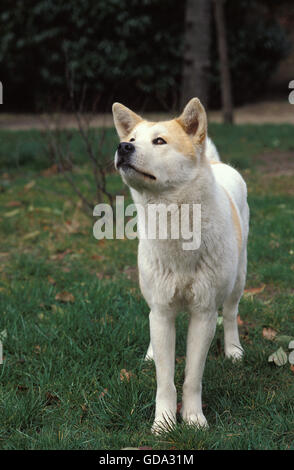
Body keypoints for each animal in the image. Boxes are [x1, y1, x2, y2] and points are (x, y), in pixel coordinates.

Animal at [111, 98, 249, 434]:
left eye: (159, 141)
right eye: (132, 139)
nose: (123, 147)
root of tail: (214, 162)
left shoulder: (203, 313)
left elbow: (191, 379)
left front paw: (193, 419)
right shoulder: (162, 310)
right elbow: (165, 380)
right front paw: (163, 424)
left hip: (238, 281)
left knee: (231, 314)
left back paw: (233, 351)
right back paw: (150, 353)